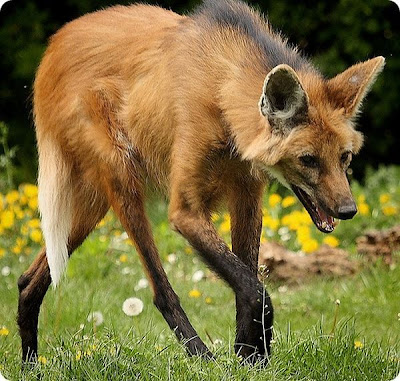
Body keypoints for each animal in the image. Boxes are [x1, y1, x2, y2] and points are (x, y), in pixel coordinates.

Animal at [18, 0, 384, 364]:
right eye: (308, 160)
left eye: (345, 157)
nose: (348, 210)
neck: (222, 93)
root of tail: (52, 50)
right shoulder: (186, 211)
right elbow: (254, 289)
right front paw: (251, 356)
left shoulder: (247, 195)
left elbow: (247, 279)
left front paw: (250, 358)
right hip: (122, 177)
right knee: (160, 291)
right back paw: (200, 356)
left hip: (93, 204)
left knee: (28, 279)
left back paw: (30, 363)